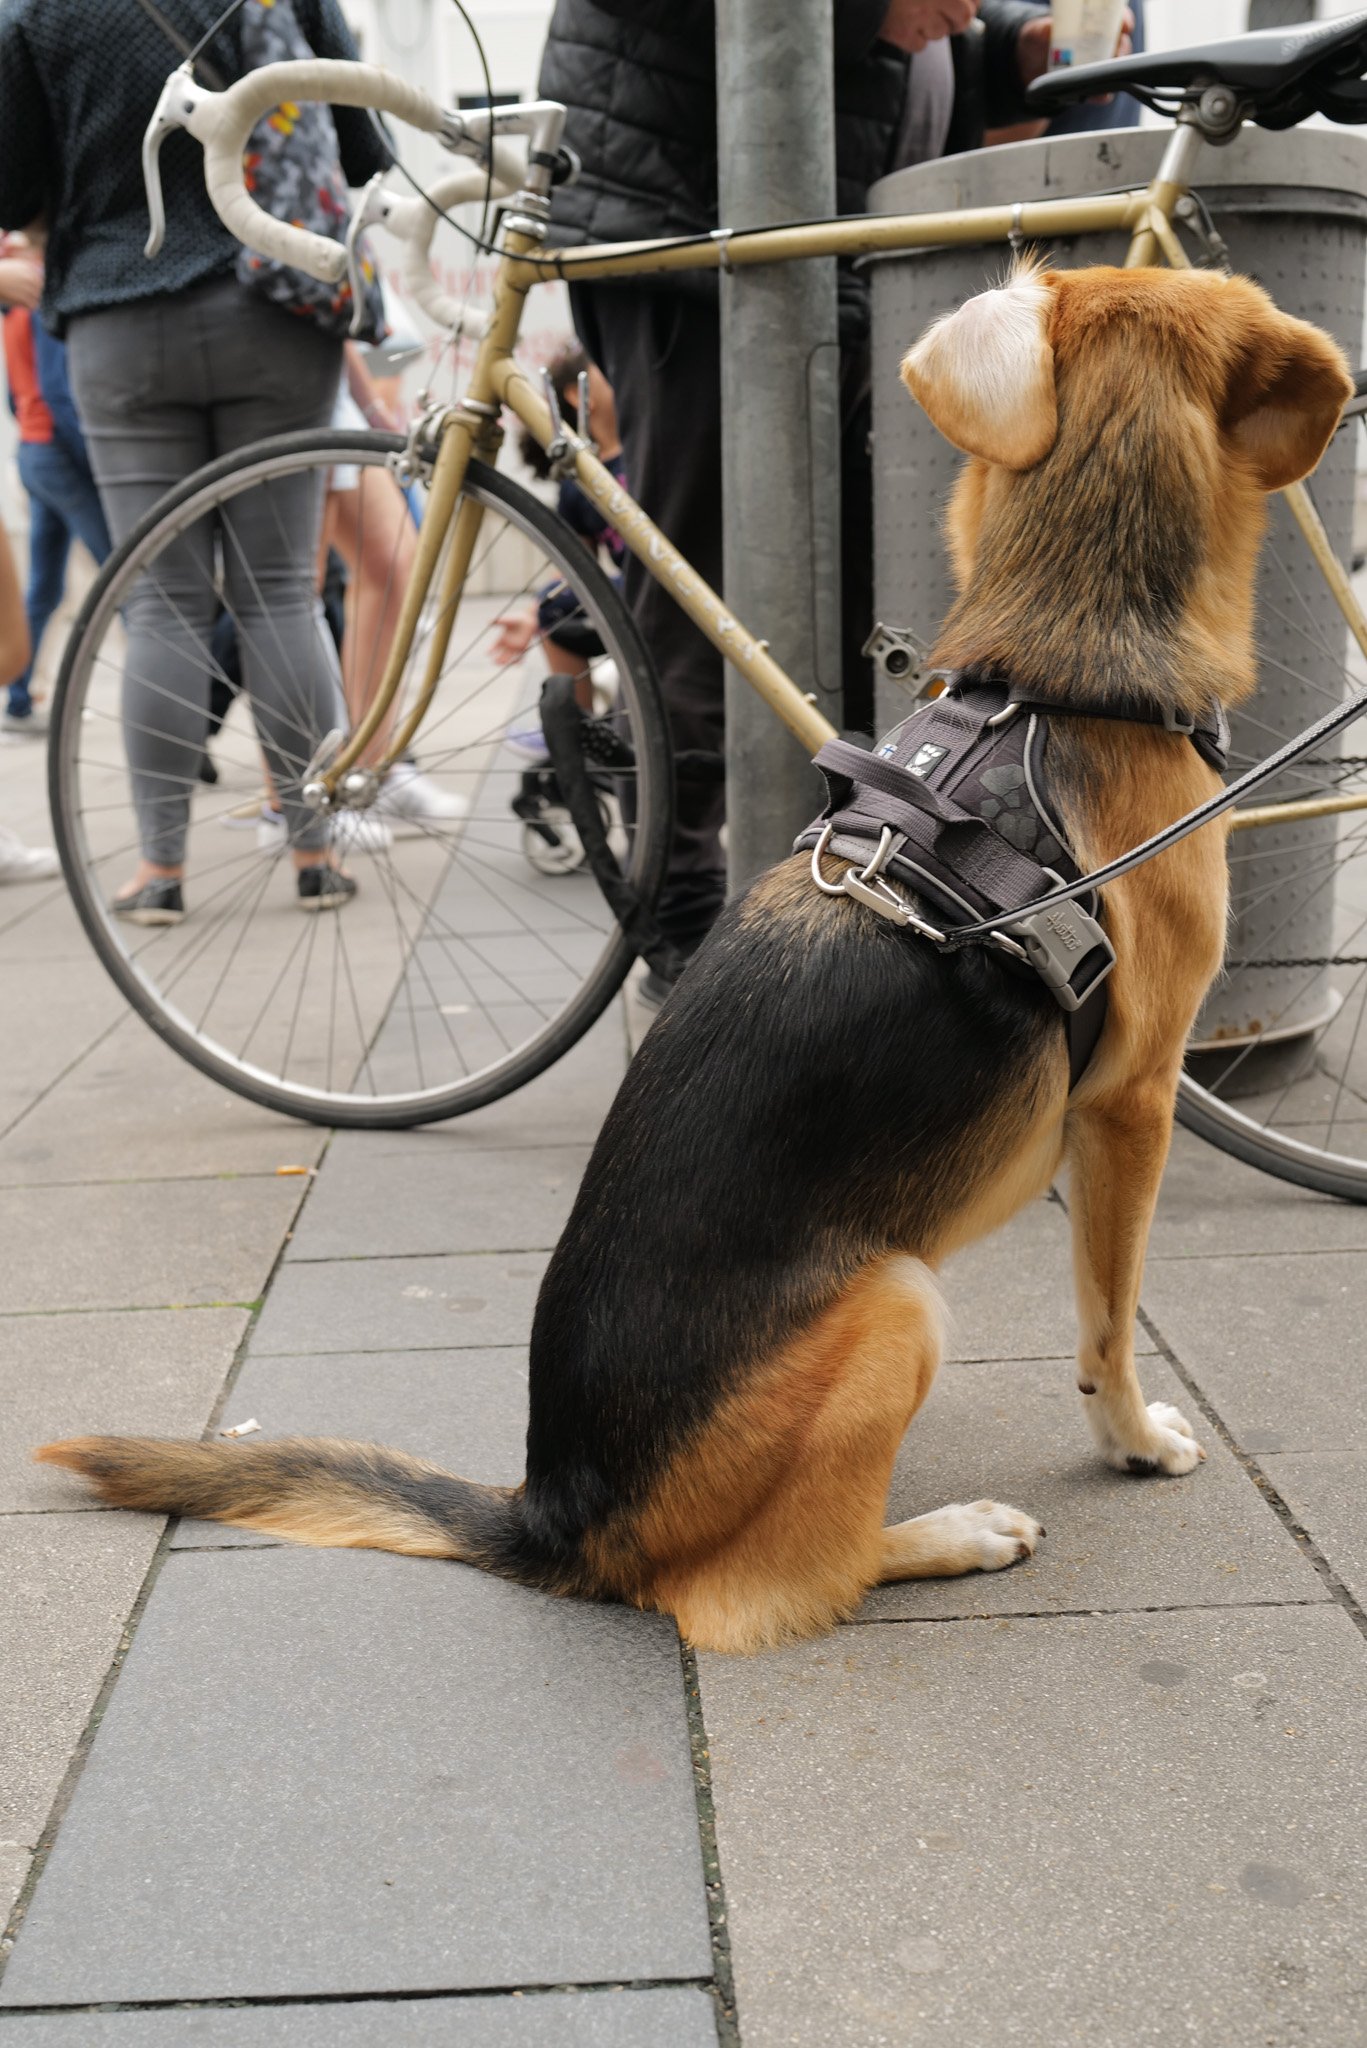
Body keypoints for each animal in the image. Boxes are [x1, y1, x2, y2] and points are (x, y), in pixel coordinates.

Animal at [37, 264, 1352, 1654]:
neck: (1052, 681)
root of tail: (554, 1513)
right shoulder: (1132, 1105)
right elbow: (1106, 1322)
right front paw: (1133, 1440)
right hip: (897, 1300)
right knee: (766, 1586)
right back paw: (946, 1533)